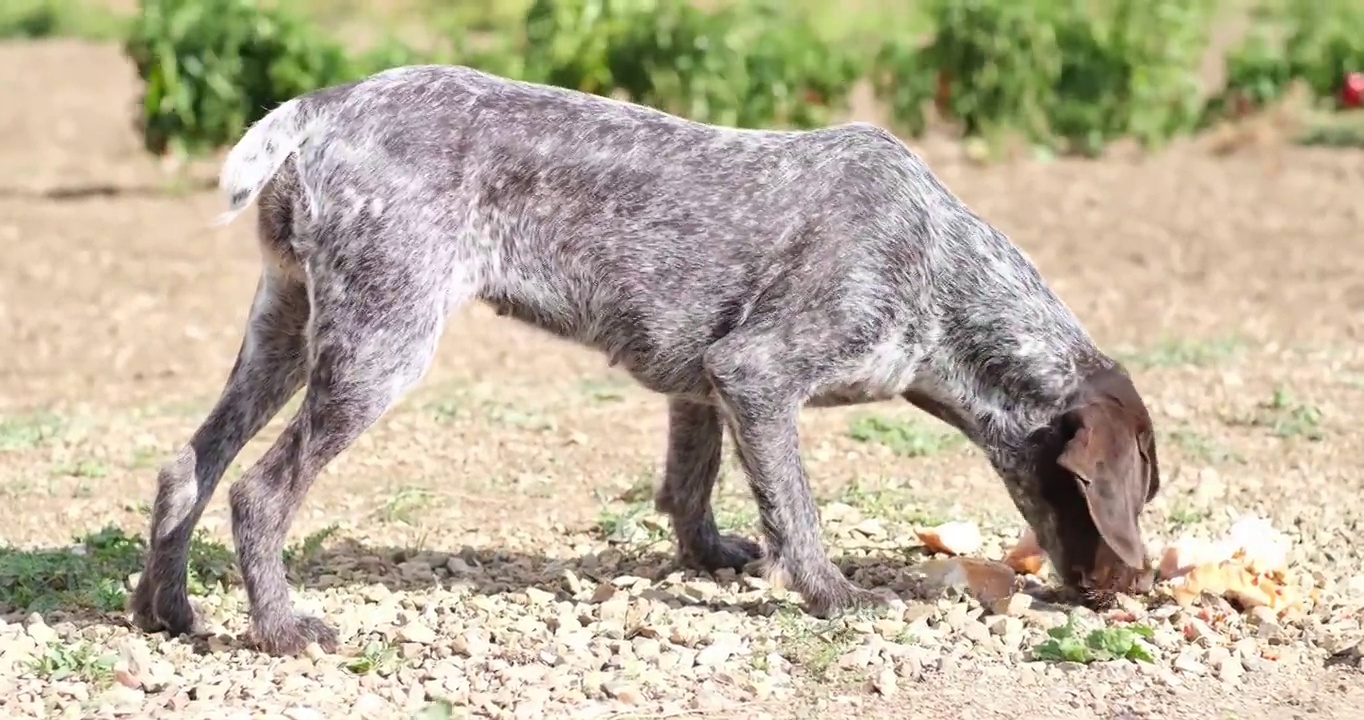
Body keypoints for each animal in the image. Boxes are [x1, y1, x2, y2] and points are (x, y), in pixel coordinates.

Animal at [130, 64, 1162, 654]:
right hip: (379, 343)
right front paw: (831, 594)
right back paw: (280, 630)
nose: (1141, 586)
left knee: (188, 465)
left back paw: (166, 611)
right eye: (1136, 497)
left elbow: (692, 484)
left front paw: (709, 559)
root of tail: (325, 104)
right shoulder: (760, 374)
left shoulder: (705, 384)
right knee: (258, 491)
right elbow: (797, 511)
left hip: (288, 324)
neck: (943, 279)